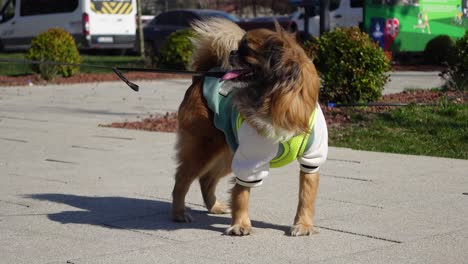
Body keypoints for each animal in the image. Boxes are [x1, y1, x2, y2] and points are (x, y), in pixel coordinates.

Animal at [171, 18, 322, 237]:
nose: (233, 52)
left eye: (247, 49)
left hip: (227, 153)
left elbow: (306, 195)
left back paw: (214, 207)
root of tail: (202, 77)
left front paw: (303, 224)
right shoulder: (250, 160)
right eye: (239, 47)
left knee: (206, 179)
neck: (279, 101)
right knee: (182, 178)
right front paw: (241, 224)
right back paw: (178, 213)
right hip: (203, 148)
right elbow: (241, 193)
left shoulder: (312, 158)